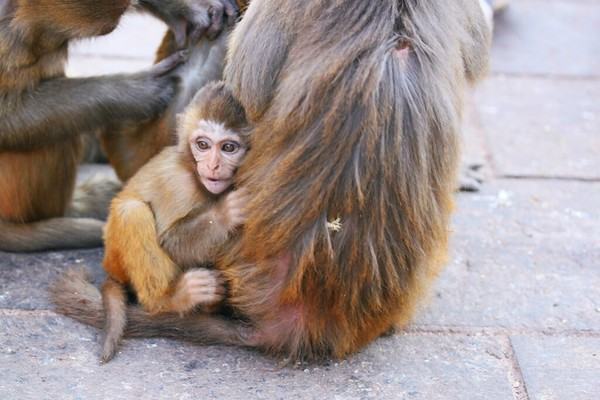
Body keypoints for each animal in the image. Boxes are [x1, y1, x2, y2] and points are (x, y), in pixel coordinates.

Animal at [101, 81, 248, 362]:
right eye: (202, 144)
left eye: (228, 148)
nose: (213, 166)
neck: (193, 170)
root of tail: (108, 265)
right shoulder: (178, 184)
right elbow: (171, 242)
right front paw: (224, 212)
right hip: (115, 256)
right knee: (132, 211)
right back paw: (170, 299)